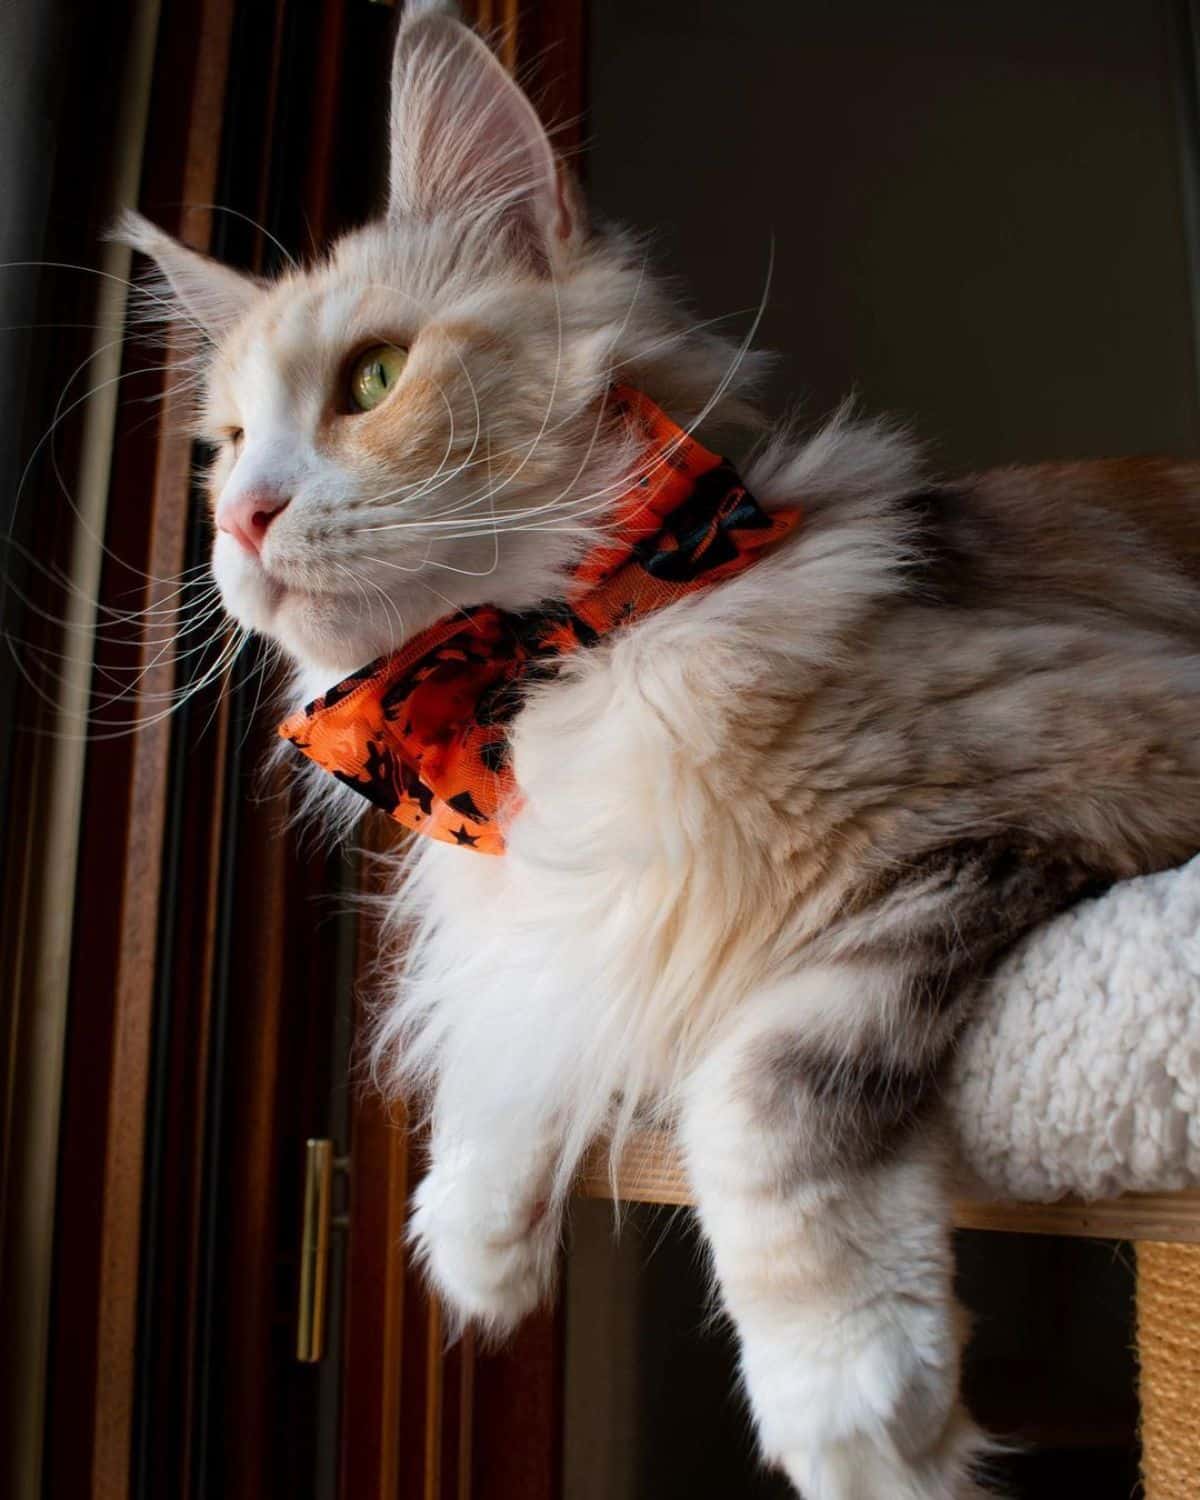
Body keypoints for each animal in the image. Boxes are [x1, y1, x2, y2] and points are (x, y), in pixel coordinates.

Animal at [119, 2, 1200, 1500]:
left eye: (374, 379)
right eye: (221, 449)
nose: (240, 520)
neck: (537, 676)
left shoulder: (1064, 785)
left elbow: (757, 1086)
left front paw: (854, 1400)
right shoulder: (575, 927)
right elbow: (527, 1024)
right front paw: (476, 1229)